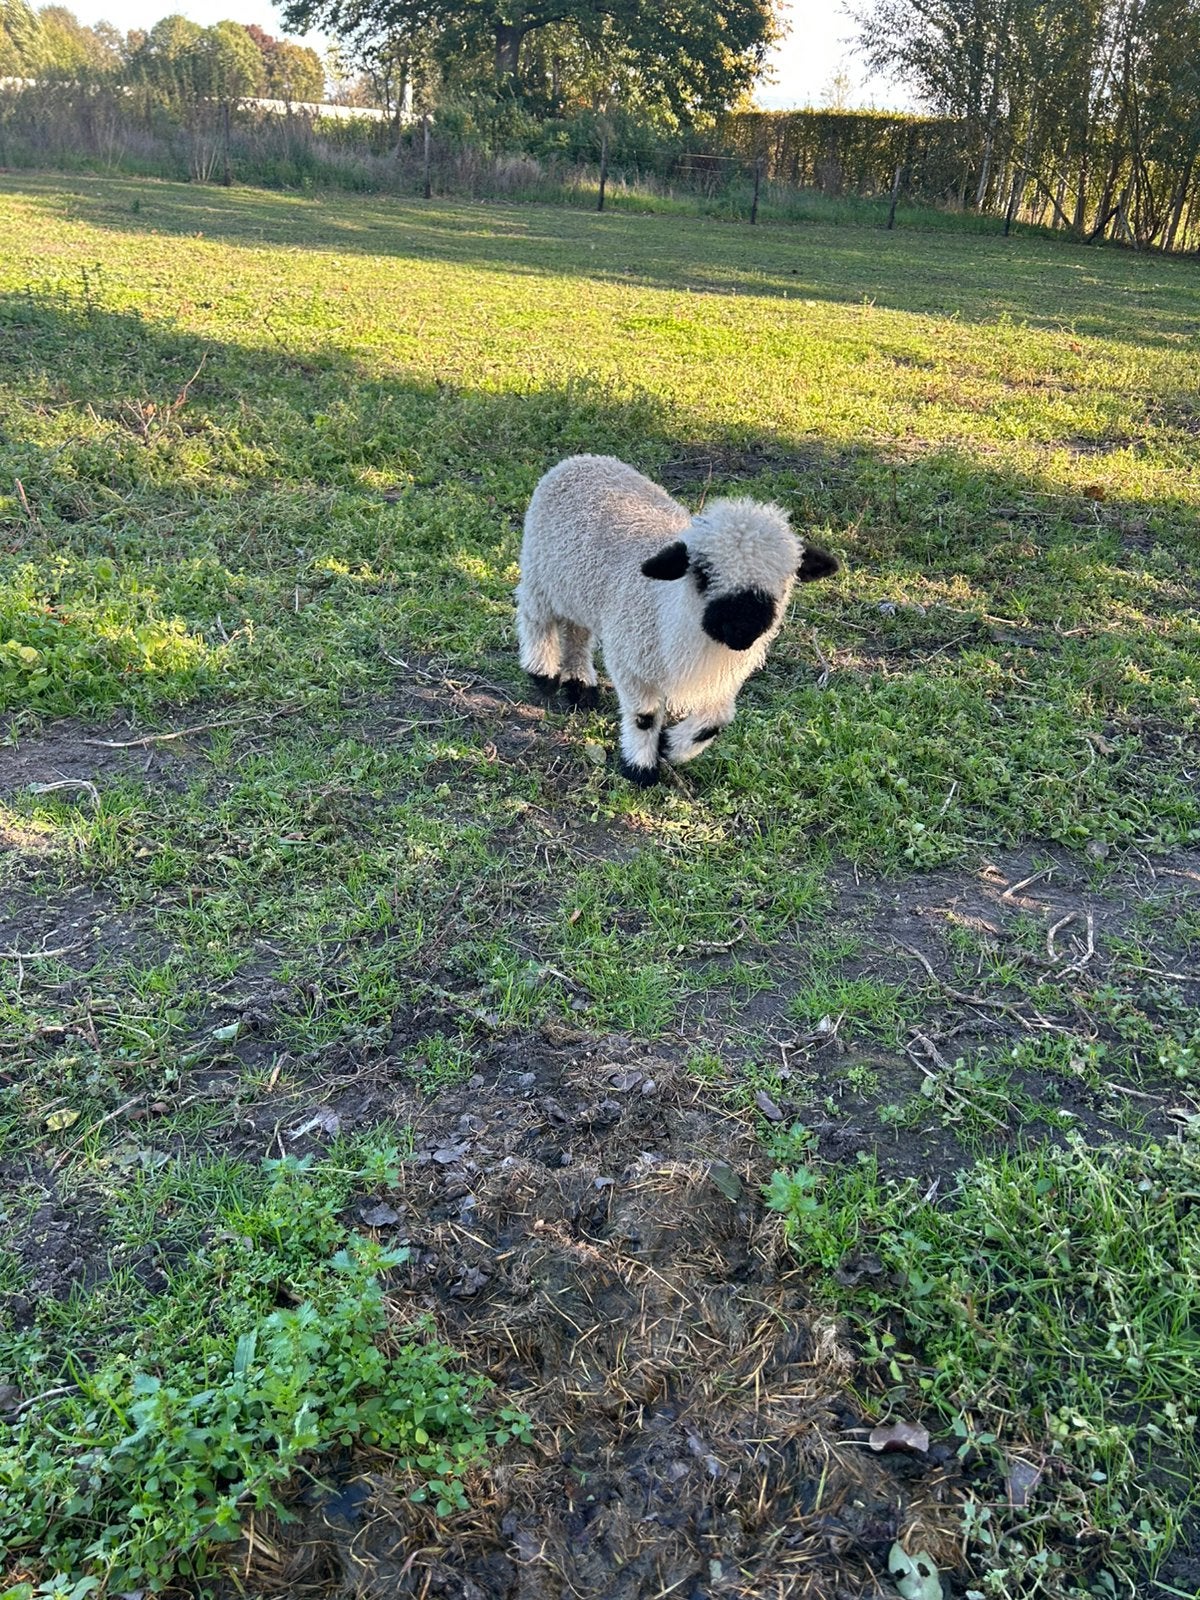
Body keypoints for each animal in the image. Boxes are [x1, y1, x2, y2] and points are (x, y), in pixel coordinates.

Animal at [515, 454, 840, 786]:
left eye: (784, 584)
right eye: (702, 574)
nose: (741, 631)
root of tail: (583, 460)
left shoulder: (724, 680)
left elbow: (716, 720)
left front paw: (670, 747)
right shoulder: (632, 661)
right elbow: (643, 717)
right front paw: (640, 768)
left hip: (579, 589)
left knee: (577, 632)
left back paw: (579, 684)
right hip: (540, 572)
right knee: (535, 616)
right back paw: (542, 672)